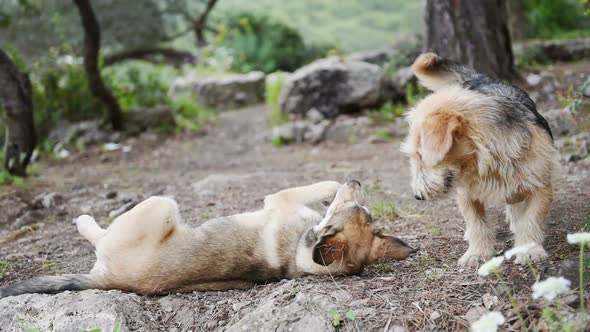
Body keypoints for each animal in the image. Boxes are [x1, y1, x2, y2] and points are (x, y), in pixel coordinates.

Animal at [1, 180, 416, 296]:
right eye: (363, 212)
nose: (356, 180)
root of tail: (108, 280)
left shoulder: (277, 199)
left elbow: (321, 185)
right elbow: (324, 187)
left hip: (162, 205)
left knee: (98, 233)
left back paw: (86, 218)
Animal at [402, 53, 556, 268]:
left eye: (420, 155)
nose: (418, 196)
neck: (485, 160)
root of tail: (481, 79)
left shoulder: (540, 186)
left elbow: (531, 219)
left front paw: (529, 249)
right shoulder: (466, 194)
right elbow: (476, 224)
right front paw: (477, 253)